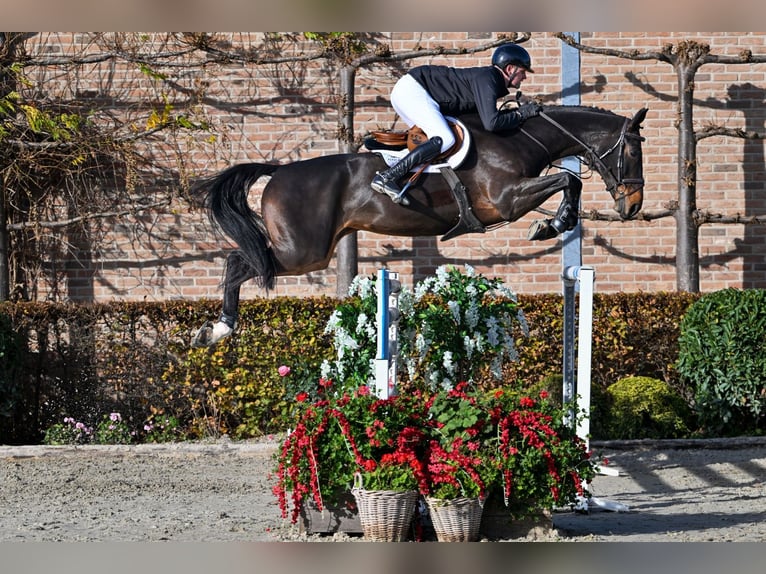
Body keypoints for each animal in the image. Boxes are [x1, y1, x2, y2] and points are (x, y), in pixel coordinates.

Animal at [191, 105, 648, 347]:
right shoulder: (506, 201)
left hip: (305, 251)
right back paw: (218, 330)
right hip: (303, 252)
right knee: (239, 261)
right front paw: (553, 224)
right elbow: (569, 180)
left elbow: (568, 180)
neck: (519, 138)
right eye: (632, 152)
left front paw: (556, 222)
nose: (633, 206)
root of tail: (279, 172)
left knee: (242, 260)